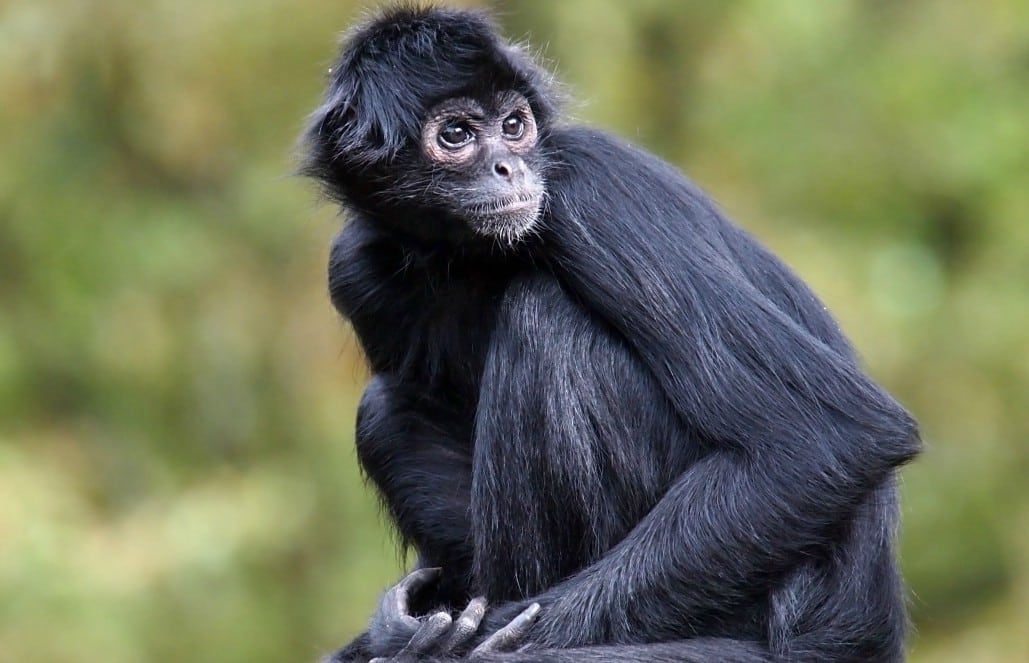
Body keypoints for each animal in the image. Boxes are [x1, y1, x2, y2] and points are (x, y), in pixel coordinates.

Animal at [300, 5, 921, 663]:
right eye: (457, 135)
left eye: (513, 126)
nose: (509, 167)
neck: (469, 256)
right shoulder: (354, 266)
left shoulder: (586, 185)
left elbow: (829, 436)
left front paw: (469, 635)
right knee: (386, 405)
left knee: (547, 318)